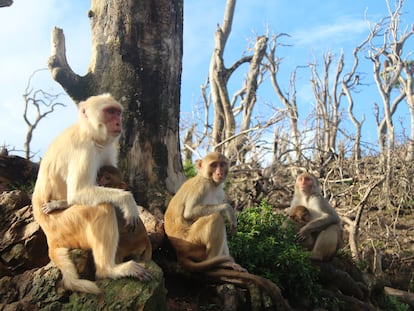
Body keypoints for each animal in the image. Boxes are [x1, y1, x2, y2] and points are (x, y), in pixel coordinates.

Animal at [31, 93, 152, 294]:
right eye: (109, 112)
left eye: (117, 112)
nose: (118, 123)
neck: (89, 131)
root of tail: (50, 237)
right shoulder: (83, 148)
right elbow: (77, 192)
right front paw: (128, 202)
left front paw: (59, 203)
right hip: (64, 228)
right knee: (101, 207)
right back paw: (108, 270)